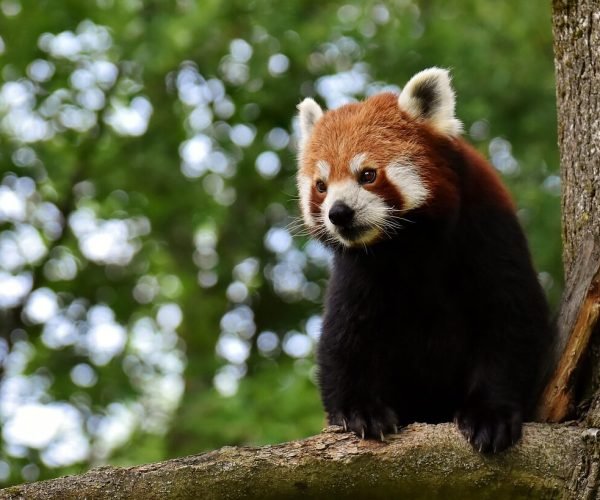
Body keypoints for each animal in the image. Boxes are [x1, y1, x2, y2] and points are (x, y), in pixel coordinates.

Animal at [298, 68, 556, 456]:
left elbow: (511, 320)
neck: (408, 246)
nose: (338, 213)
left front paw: (490, 415)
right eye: (321, 186)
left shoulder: (488, 232)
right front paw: (361, 411)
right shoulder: (358, 271)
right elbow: (344, 337)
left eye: (368, 175)